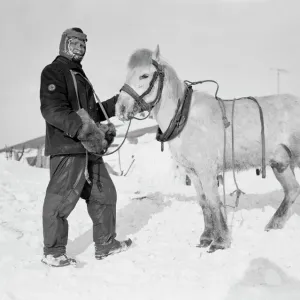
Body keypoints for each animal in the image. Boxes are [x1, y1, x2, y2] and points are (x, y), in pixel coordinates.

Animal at [115, 45, 300, 252]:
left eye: (144, 75)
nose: (120, 108)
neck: (184, 118)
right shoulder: (193, 173)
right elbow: (203, 202)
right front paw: (206, 237)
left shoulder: (207, 171)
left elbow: (213, 202)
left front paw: (220, 241)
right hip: (281, 163)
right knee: (292, 190)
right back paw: (274, 224)